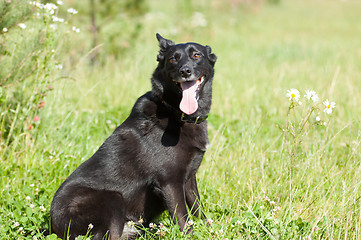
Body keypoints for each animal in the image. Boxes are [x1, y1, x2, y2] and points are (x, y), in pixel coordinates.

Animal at [50, 34, 217, 240]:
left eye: (196, 55)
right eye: (173, 59)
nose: (185, 71)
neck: (174, 112)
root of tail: (53, 225)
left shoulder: (189, 178)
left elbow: (197, 209)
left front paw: (209, 229)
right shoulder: (170, 182)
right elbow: (182, 217)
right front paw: (191, 235)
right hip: (112, 199)